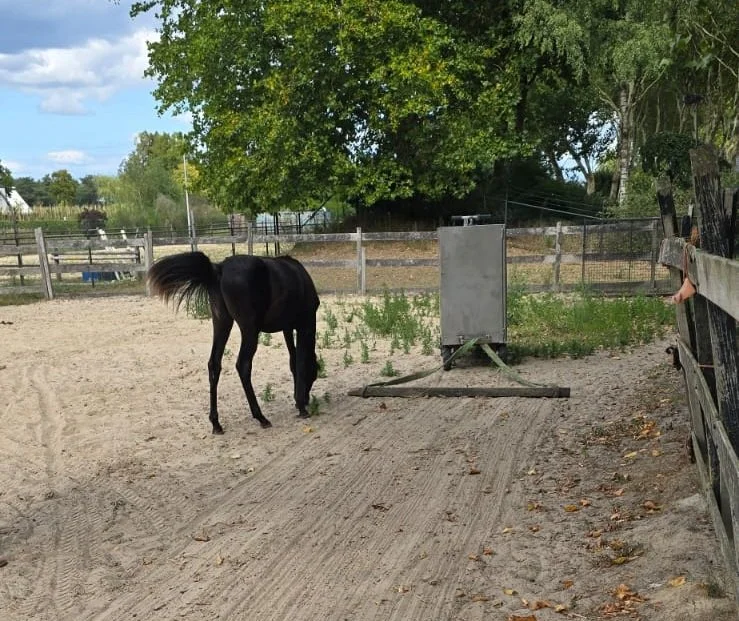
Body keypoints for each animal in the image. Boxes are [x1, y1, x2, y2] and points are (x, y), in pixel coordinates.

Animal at [148, 251, 320, 433]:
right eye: (314, 374)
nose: (306, 399)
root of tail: (220, 269)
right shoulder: (305, 325)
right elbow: (300, 362)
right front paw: (301, 406)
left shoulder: (287, 328)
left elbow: (293, 361)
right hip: (249, 330)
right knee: (243, 365)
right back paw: (261, 417)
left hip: (222, 322)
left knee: (214, 365)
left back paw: (216, 423)